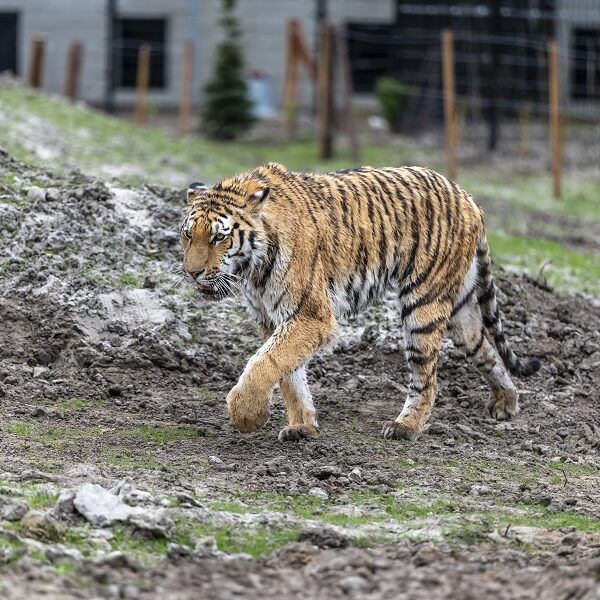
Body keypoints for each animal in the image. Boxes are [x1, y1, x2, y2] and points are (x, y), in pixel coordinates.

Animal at [180, 162, 540, 442]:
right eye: (188, 235)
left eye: (219, 237)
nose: (192, 273)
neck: (252, 269)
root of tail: (468, 197)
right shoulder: (271, 319)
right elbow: (288, 373)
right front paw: (302, 426)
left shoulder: (310, 315)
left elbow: (266, 362)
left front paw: (246, 414)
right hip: (460, 311)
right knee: (486, 349)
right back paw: (506, 403)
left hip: (423, 306)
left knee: (428, 378)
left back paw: (405, 427)